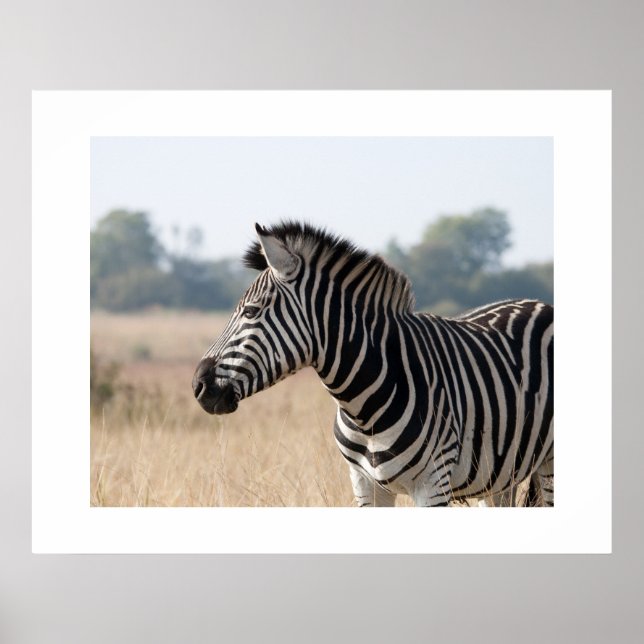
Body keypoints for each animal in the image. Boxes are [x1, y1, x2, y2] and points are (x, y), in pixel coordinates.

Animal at [192, 221, 554, 507]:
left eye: (251, 312)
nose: (198, 385)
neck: (364, 407)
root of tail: (539, 303)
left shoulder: (434, 484)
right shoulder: (364, 483)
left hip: (548, 465)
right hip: (500, 475)